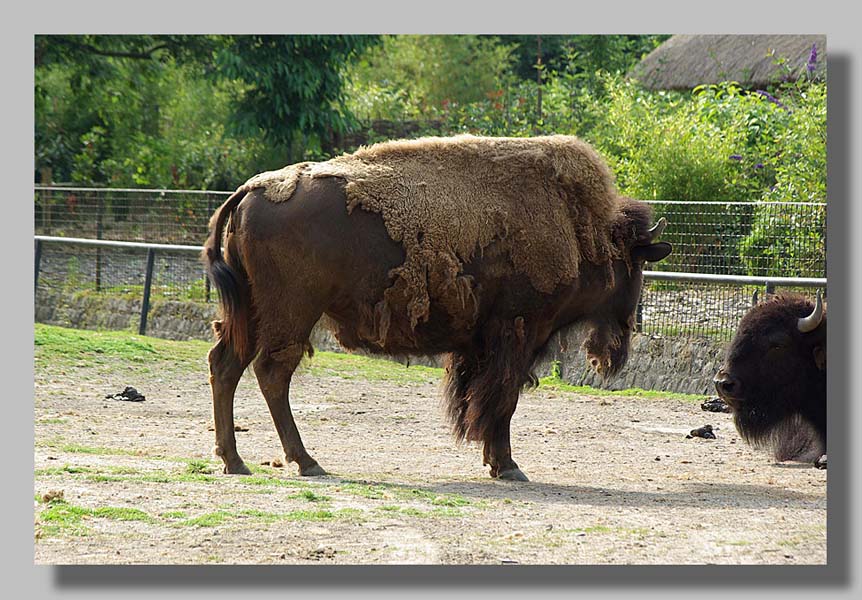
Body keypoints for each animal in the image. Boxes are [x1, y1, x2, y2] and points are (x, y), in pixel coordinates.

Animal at [204, 134, 676, 480]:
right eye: (635, 265)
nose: (629, 324)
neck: (580, 231)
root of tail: (248, 191)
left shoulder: (479, 344)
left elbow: (477, 399)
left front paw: (493, 460)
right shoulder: (517, 335)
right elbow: (502, 401)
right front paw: (507, 466)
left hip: (250, 315)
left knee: (226, 365)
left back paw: (234, 461)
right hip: (291, 315)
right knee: (272, 373)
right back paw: (306, 462)